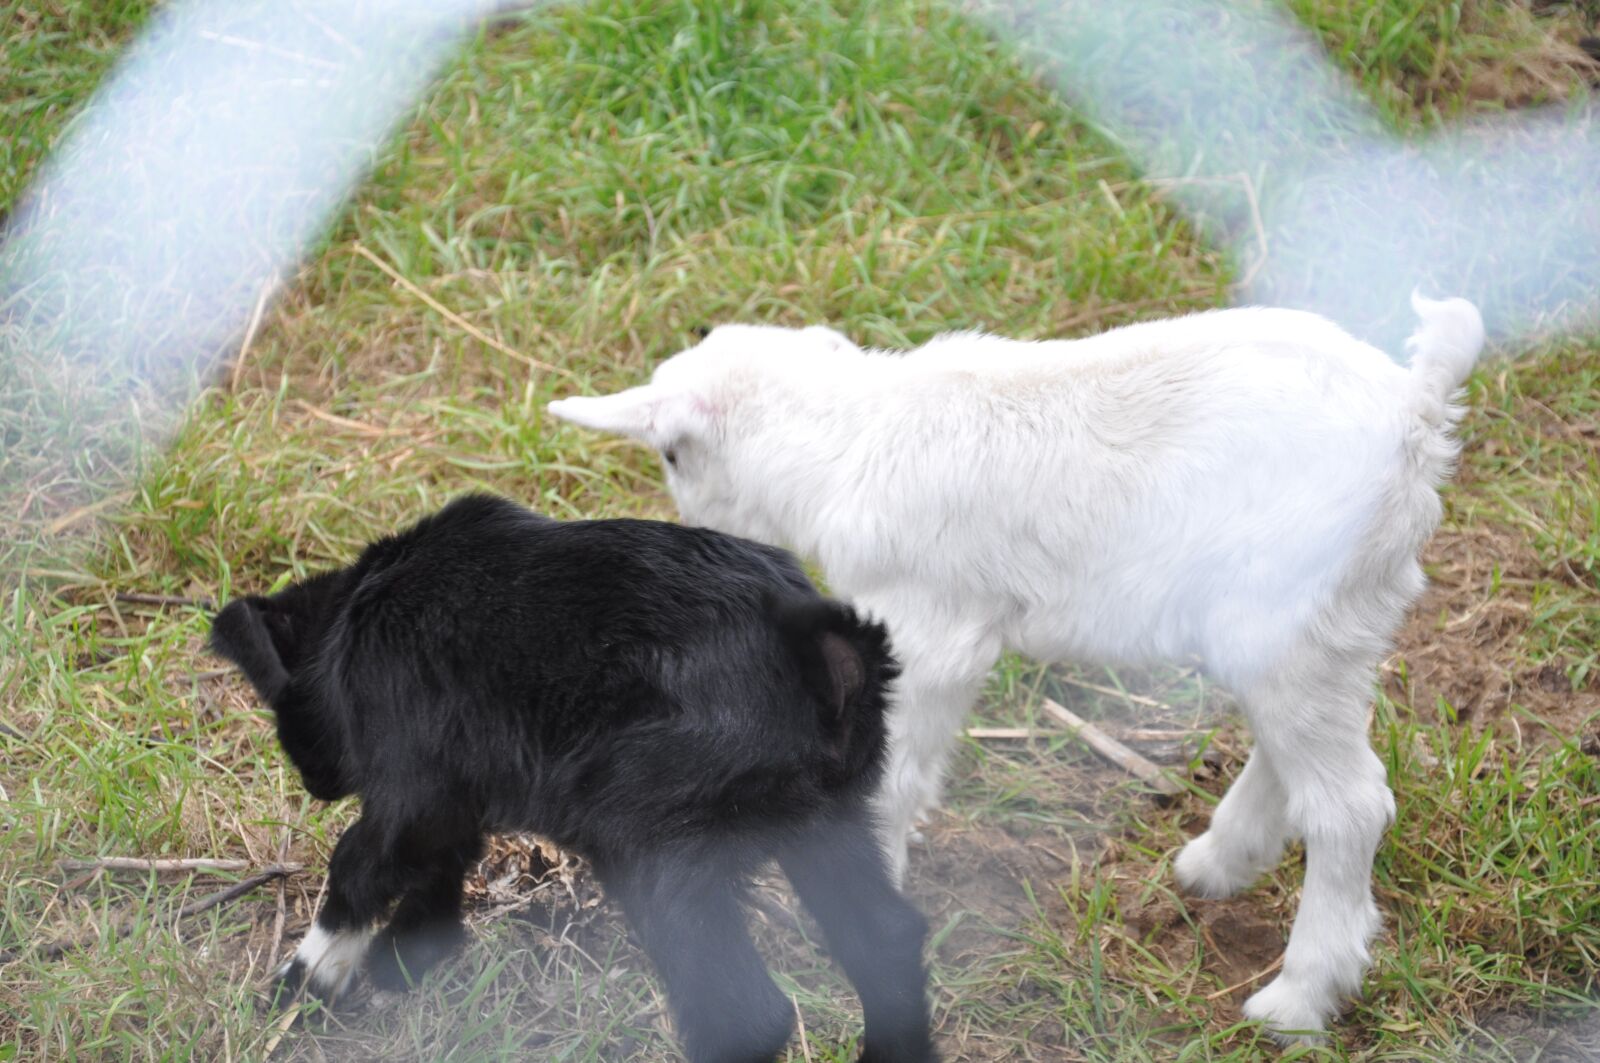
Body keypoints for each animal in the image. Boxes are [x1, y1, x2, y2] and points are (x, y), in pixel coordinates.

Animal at [209, 493, 934, 1063]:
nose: (316, 784)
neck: (356, 613)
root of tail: (824, 657)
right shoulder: (455, 787)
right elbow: (443, 855)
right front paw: (407, 959)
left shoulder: (412, 771)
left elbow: (363, 862)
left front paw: (305, 984)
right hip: (824, 819)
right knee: (886, 940)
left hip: (652, 832)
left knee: (746, 1012)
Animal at [547, 292, 1486, 1040]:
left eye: (671, 454)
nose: (699, 532)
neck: (853, 432)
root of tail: (1418, 412)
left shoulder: (927, 629)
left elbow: (892, 772)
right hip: (1315, 625)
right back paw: (1219, 860)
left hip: (1296, 616)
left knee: (1351, 804)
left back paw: (1297, 998)